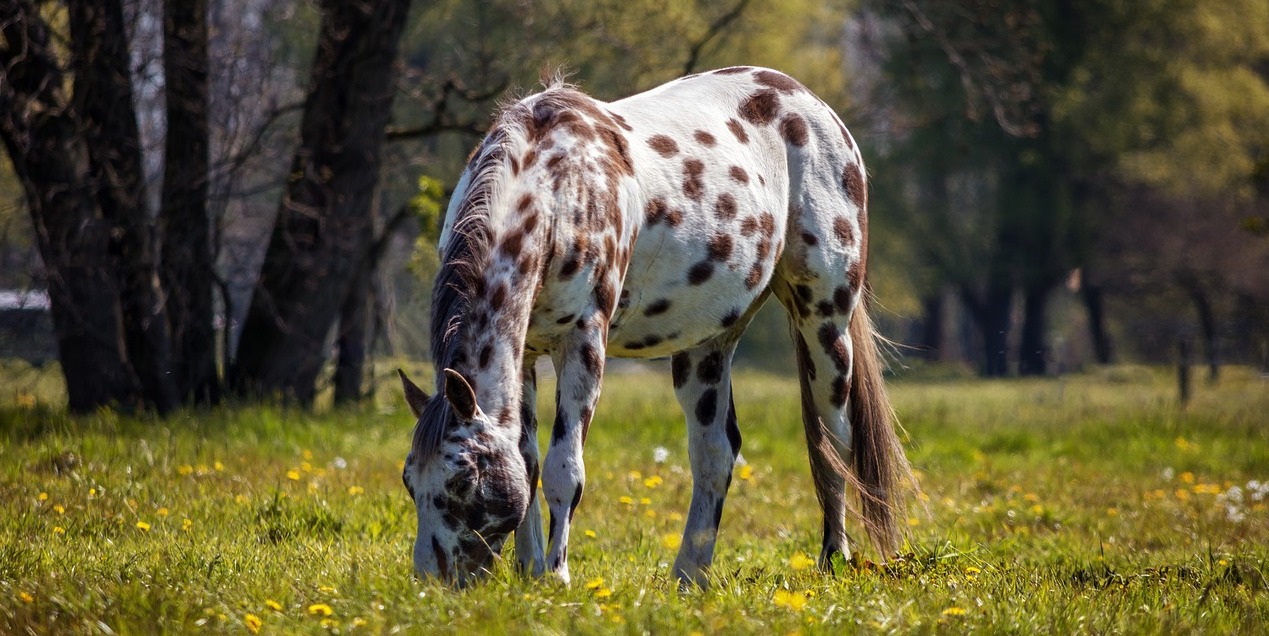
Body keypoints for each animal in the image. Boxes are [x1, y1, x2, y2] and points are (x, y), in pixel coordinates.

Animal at [395, 66, 913, 586]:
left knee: (833, 443)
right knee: (715, 455)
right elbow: (528, 462)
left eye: (462, 479)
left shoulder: (583, 342)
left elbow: (565, 471)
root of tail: (812, 105)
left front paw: (556, 578)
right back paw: (689, 576)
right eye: (408, 479)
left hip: (825, 323)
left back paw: (833, 558)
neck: (558, 189)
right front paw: (529, 572)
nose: (431, 582)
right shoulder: (525, 355)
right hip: (708, 345)